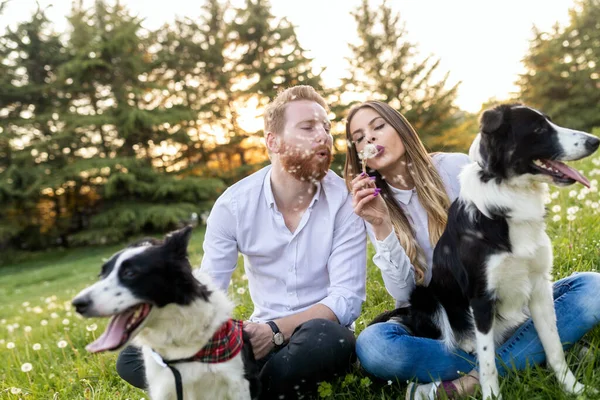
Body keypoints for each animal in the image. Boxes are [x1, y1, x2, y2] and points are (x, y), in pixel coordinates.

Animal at [372, 104, 596, 398]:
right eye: (538, 129)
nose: (595, 141)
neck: (510, 193)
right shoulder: (480, 296)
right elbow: (488, 363)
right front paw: (491, 395)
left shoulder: (539, 286)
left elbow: (554, 345)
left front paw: (573, 388)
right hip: (424, 296)